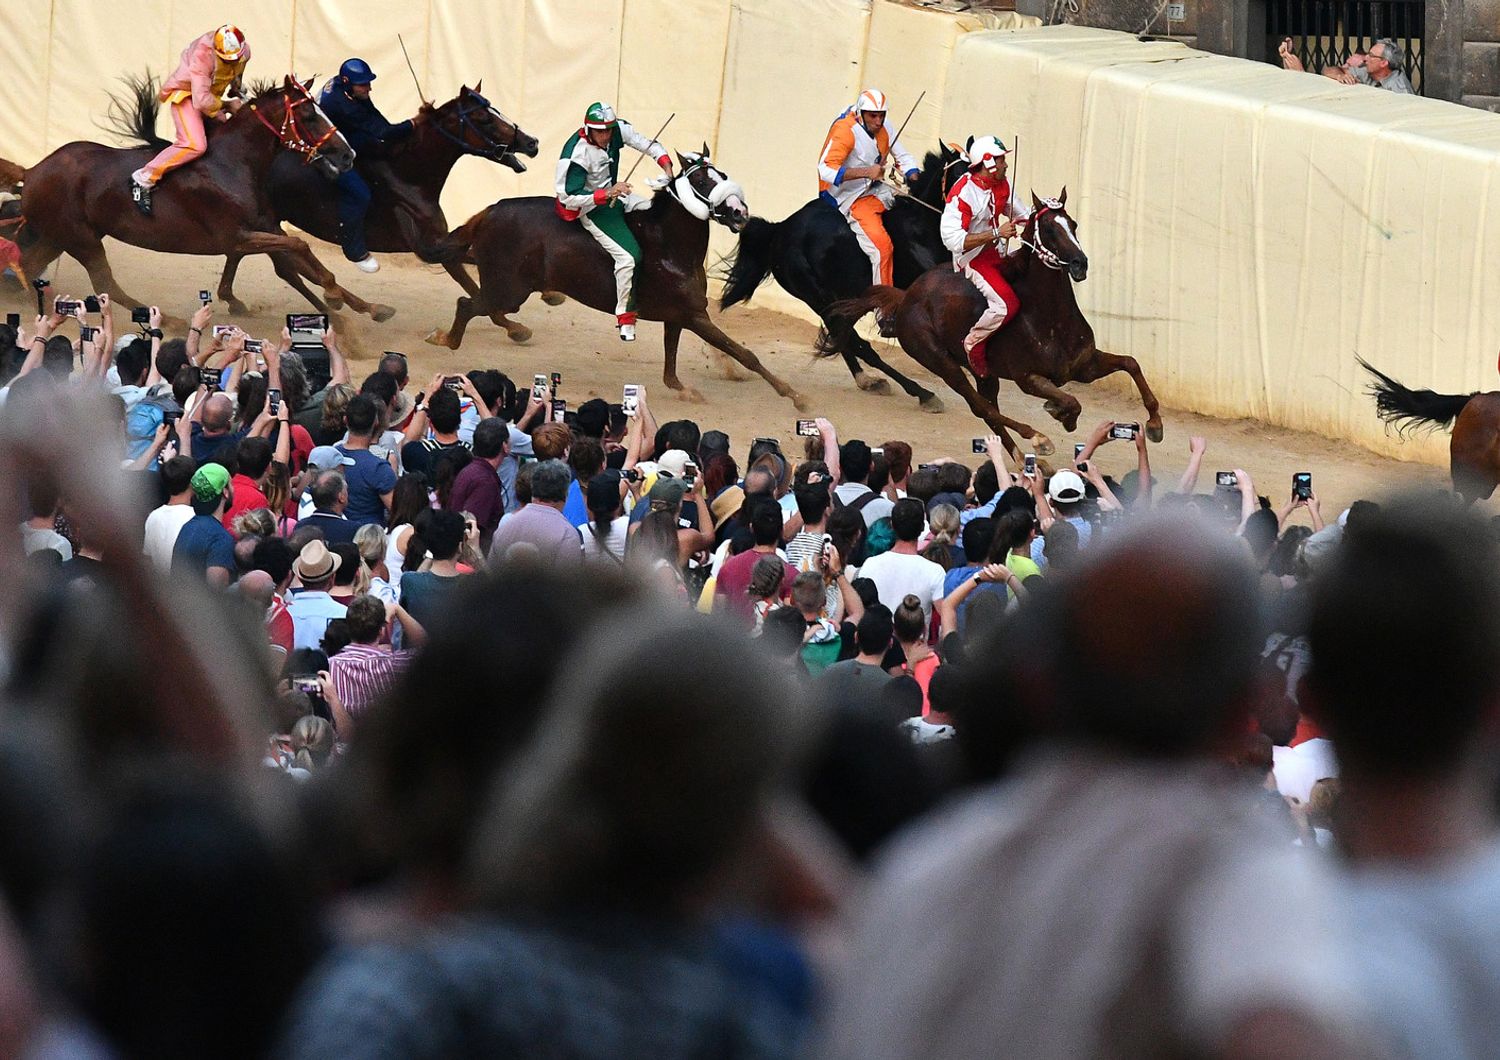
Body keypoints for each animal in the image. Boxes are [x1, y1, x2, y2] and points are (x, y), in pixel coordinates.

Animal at [19, 77, 393, 320]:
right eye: (309, 115)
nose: (348, 155)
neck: (233, 165)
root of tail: (32, 171)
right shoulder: (236, 236)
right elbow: (299, 251)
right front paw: (336, 305)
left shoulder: (265, 228)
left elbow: (303, 266)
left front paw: (370, 307)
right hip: (80, 238)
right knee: (103, 281)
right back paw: (169, 321)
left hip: (61, 236)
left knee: (30, 264)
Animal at [432, 148, 810, 410]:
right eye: (702, 181)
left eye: (723, 173)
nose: (739, 212)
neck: (669, 245)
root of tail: (490, 211)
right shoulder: (695, 316)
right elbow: (744, 354)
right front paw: (794, 395)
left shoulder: (678, 317)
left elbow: (670, 365)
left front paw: (684, 389)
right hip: (508, 289)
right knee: (467, 303)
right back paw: (447, 338)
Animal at [717, 146, 954, 413]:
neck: (921, 227)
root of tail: (779, 229)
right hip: (820, 298)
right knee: (856, 343)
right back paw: (920, 393)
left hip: (840, 302)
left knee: (844, 338)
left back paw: (868, 380)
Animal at [822, 191, 1158, 464]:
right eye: (1049, 229)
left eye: (1073, 224)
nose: (1079, 263)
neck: (1049, 319)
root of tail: (907, 296)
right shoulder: (1028, 378)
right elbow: (1071, 402)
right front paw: (1059, 413)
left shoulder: (1083, 366)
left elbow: (1131, 363)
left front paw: (1155, 425)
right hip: (941, 362)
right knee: (981, 407)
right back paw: (1037, 439)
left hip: (985, 374)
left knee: (988, 409)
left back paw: (1025, 458)